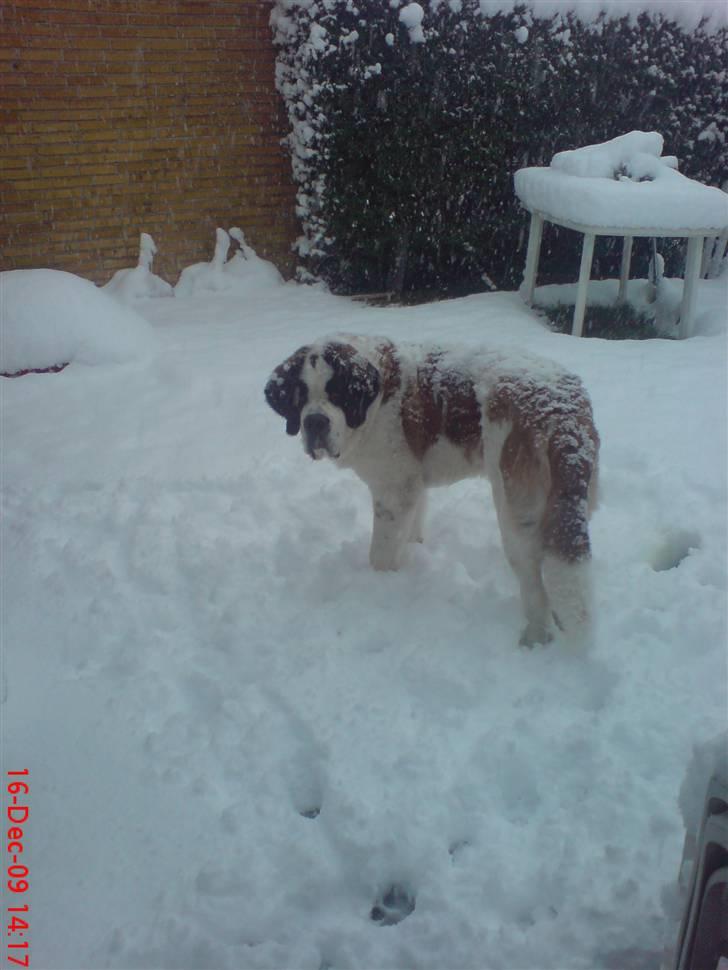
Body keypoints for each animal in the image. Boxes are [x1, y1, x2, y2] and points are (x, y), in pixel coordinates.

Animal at [264, 332, 600, 644]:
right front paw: (413, 554)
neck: (377, 400)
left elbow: (380, 552)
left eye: (338, 393)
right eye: (300, 395)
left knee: (533, 581)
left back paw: (534, 637)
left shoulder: (393, 491)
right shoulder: (413, 485)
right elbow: (412, 527)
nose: (315, 422)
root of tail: (560, 408)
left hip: (514, 510)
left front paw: (380, 583)